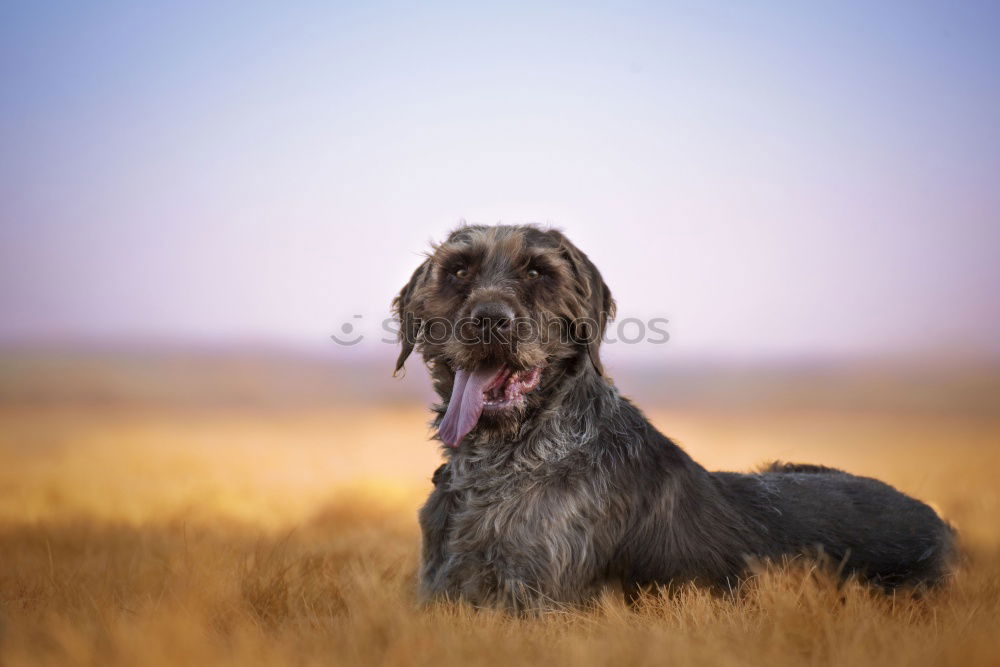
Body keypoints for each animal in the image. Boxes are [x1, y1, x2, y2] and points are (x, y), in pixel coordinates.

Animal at [388, 223, 952, 612]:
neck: (506, 458)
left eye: (538, 272)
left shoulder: (535, 599)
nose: (490, 320)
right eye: (458, 270)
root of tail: (942, 525)